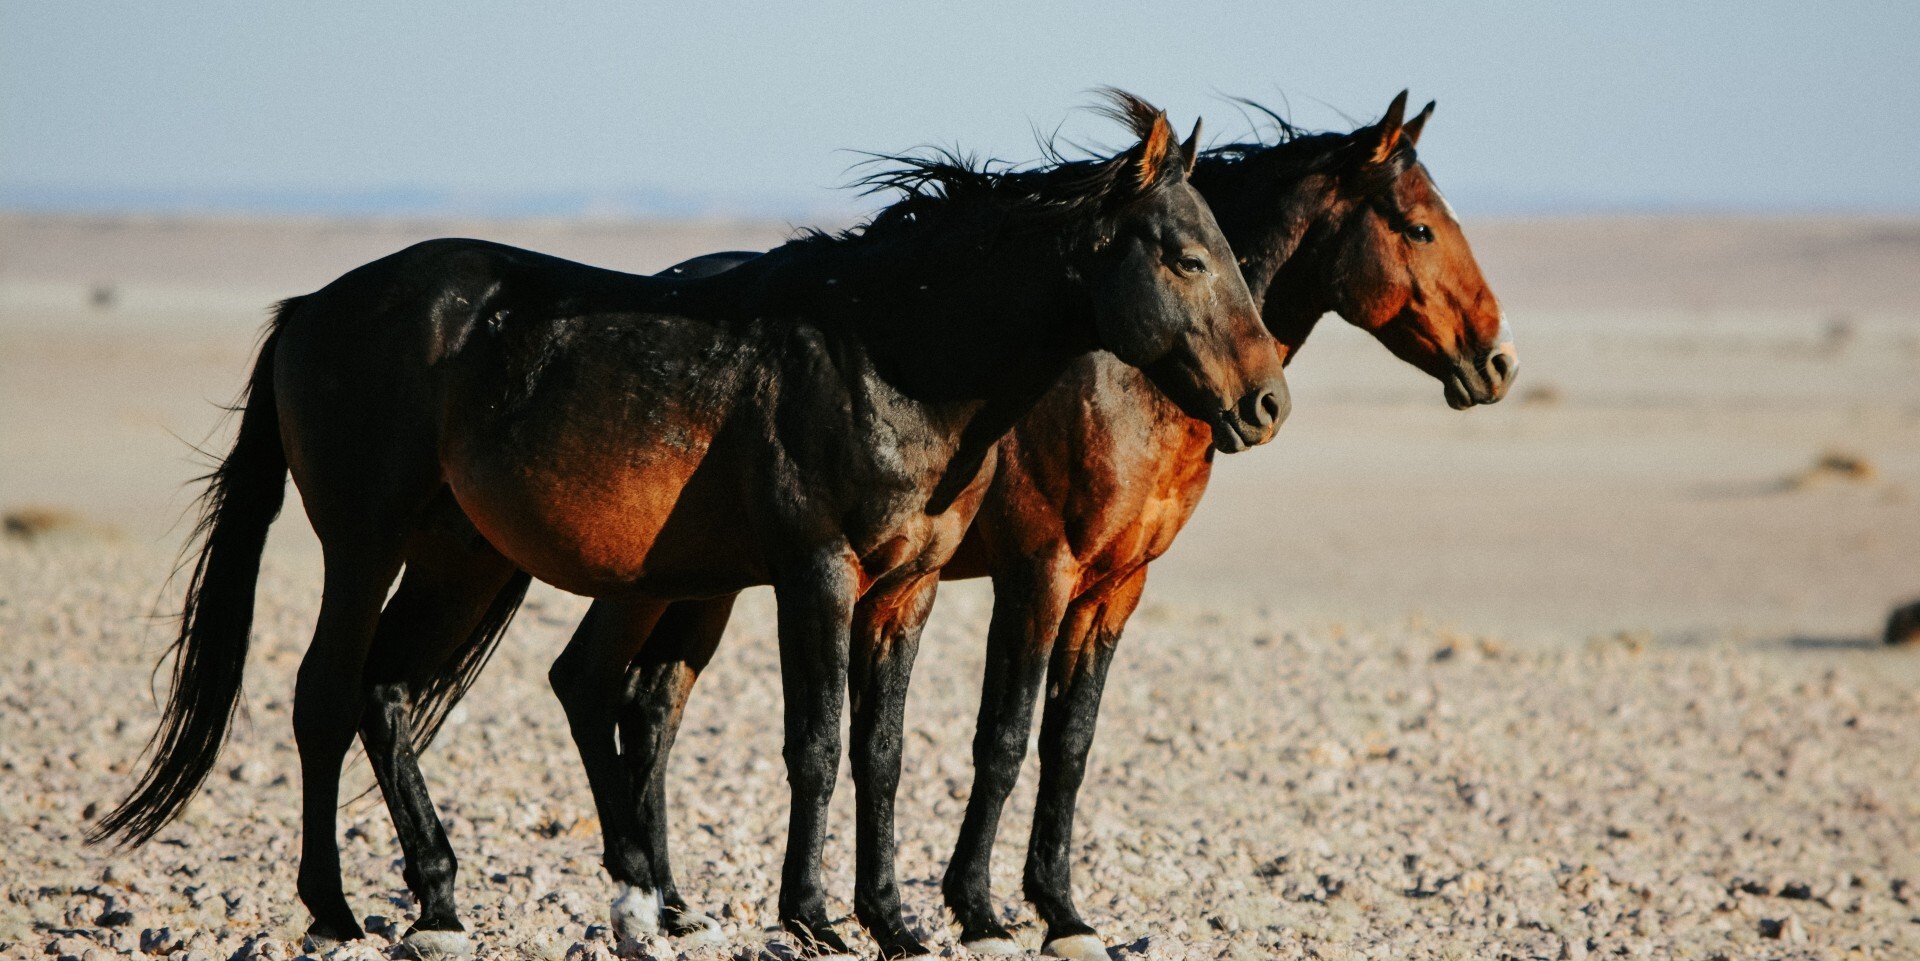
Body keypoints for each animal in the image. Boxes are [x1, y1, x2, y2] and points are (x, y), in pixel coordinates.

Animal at [89, 92, 1289, 961]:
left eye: (1229, 254)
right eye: (1186, 257)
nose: (1266, 401)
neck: (888, 349)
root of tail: (314, 307)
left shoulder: (903, 590)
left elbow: (884, 749)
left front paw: (897, 919)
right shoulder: (821, 574)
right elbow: (816, 744)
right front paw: (816, 915)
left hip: (463, 564)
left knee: (393, 695)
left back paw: (449, 900)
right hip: (367, 549)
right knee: (326, 697)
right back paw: (339, 909)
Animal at [575, 90, 1516, 961]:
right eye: (1419, 228)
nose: (1499, 361)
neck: (1128, 384)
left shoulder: (1114, 586)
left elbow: (1069, 743)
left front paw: (1061, 911)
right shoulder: (1039, 573)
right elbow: (1003, 736)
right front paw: (978, 907)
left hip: (708, 583)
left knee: (649, 706)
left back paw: (672, 904)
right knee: (616, 694)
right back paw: (655, 902)